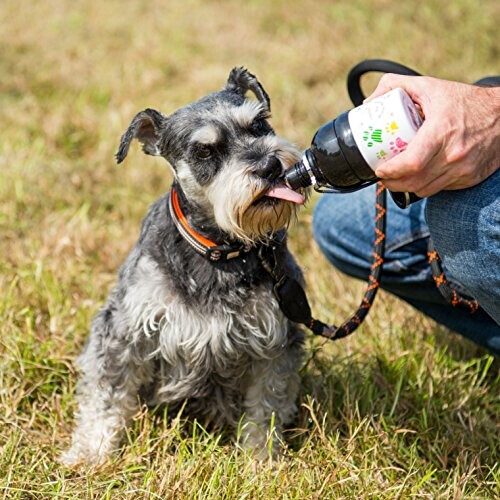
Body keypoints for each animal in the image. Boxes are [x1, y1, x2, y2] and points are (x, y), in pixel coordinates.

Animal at [60, 66, 306, 464]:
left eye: (259, 124)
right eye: (205, 150)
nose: (269, 166)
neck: (218, 251)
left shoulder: (276, 342)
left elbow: (266, 405)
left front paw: (261, 459)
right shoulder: (123, 331)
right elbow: (106, 397)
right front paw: (89, 454)